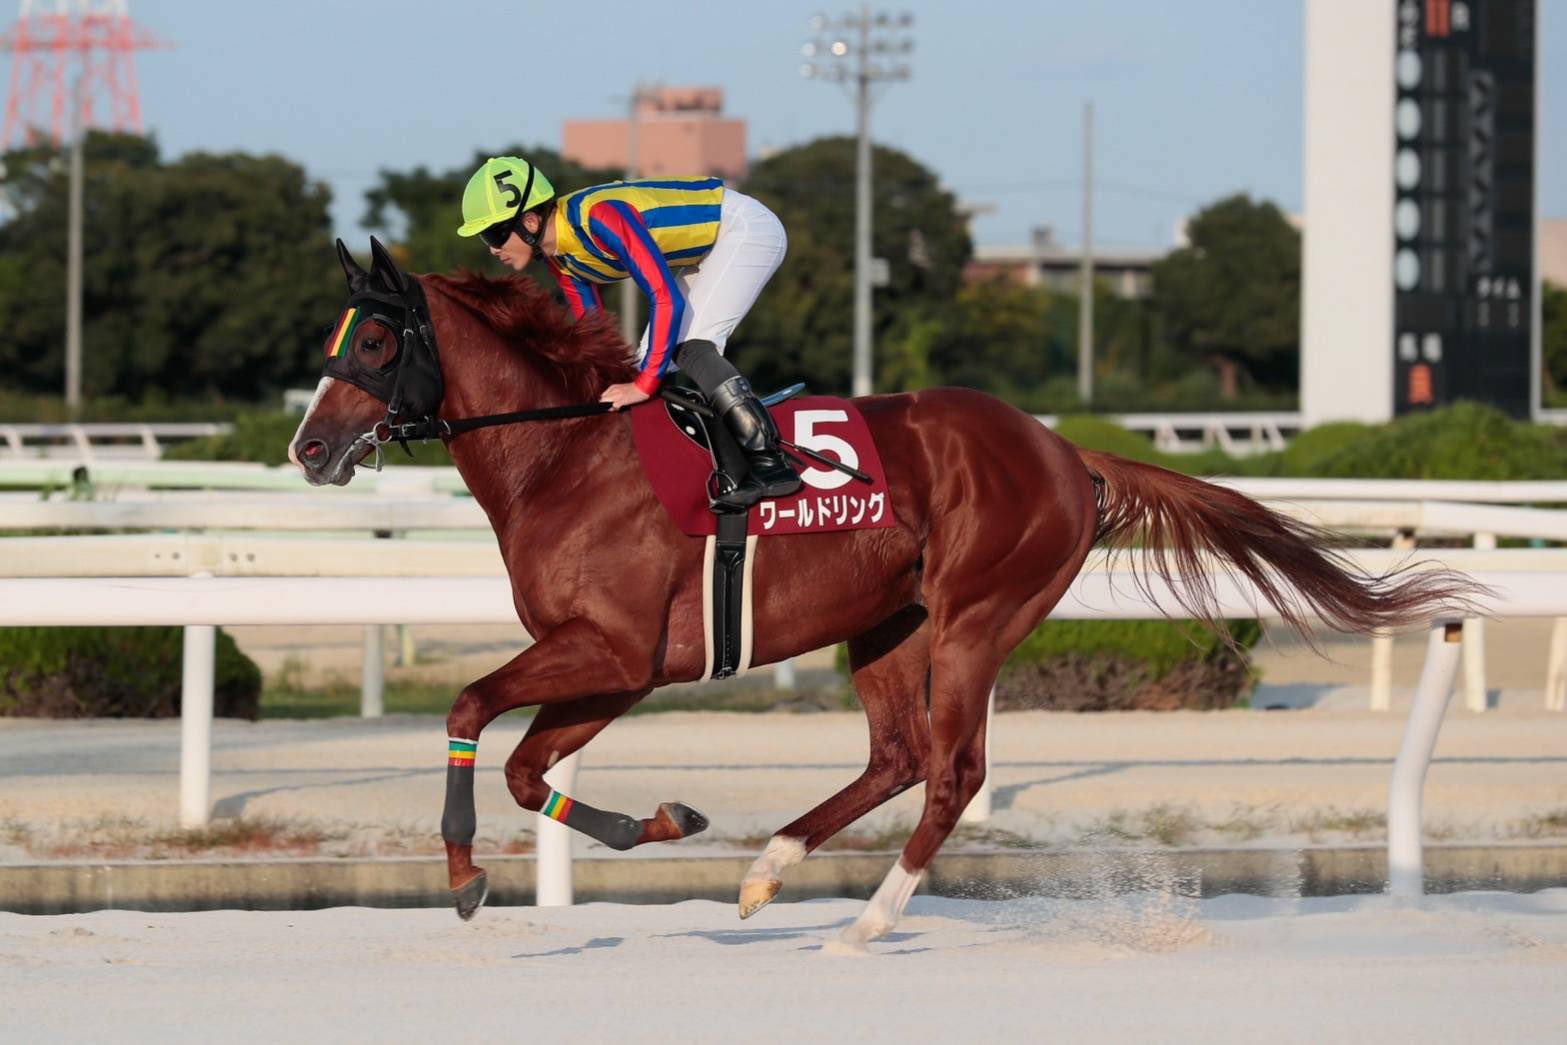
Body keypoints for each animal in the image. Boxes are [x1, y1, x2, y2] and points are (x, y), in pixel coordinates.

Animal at [290, 239, 1470, 951]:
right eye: (336, 339)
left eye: (377, 340)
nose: (306, 446)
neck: (567, 451)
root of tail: (1065, 452)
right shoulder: (619, 663)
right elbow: (528, 767)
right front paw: (661, 821)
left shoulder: (616, 650)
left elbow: (469, 708)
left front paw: (462, 875)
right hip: (886, 623)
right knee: (897, 756)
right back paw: (767, 873)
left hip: (978, 614)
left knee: (952, 769)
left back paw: (867, 920)